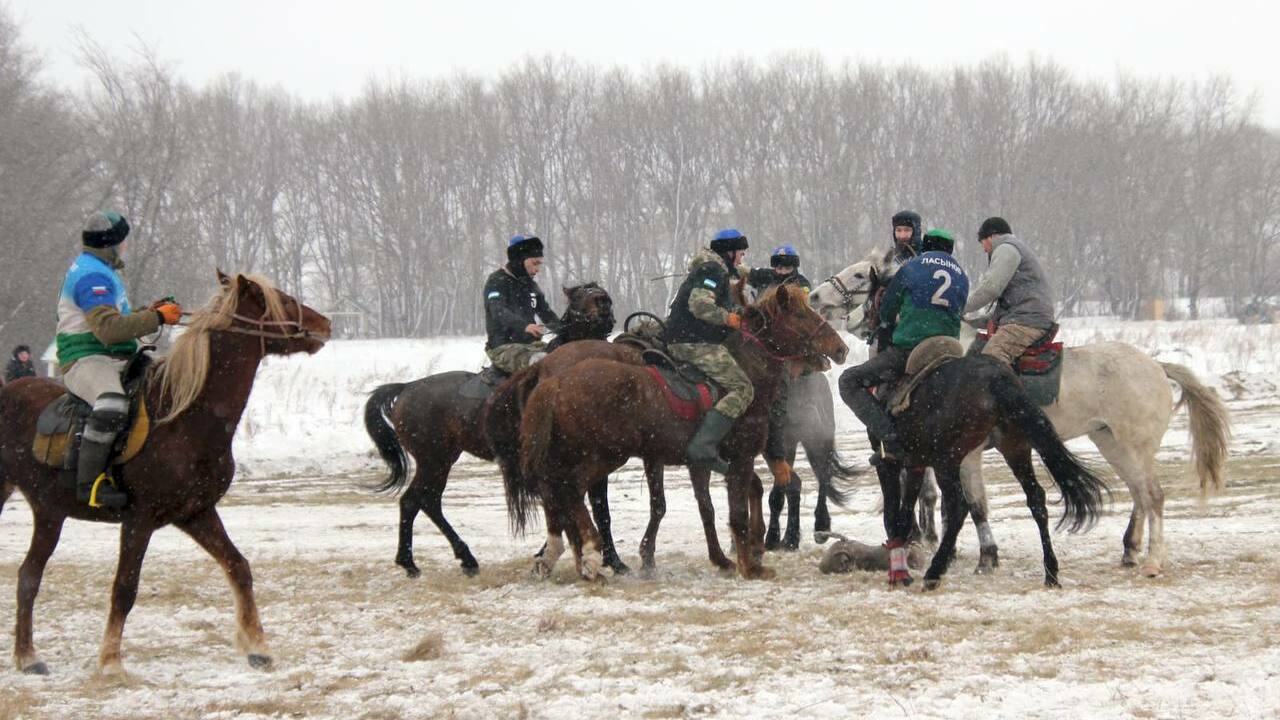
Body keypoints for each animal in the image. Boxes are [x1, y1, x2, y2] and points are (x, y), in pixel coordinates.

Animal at [1, 271, 330, 676]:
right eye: (280, 300)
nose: (324, 324)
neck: (185, 418)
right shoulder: (138, 520)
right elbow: (124, 589)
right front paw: (110, 661)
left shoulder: (196, 514)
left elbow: (239, 567)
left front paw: (257, 647)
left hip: (49, 513)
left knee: (28, 576)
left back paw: (28, 656)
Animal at [509, 283, 849, 579]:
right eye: (802, 315)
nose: (840, 348)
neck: (747, 373)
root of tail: (554, 379)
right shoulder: (739, 458)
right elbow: (737, 512)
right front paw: (749, 565)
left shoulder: (699, 462)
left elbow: (709, 508)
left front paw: (730, 557)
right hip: (601, 456)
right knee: (569, 490)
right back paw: (590, 554)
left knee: (560, 492)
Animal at [808, 249, 1228, 573]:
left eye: (859, 273)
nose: (813, 296)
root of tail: (1157, 366)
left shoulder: (966, 454)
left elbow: (973, 503)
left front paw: (983, 557)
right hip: (1109, 441)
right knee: (1140, 494)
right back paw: (1130, 550)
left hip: (1134, 445)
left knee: (1153, 495)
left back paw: (1153, 560)